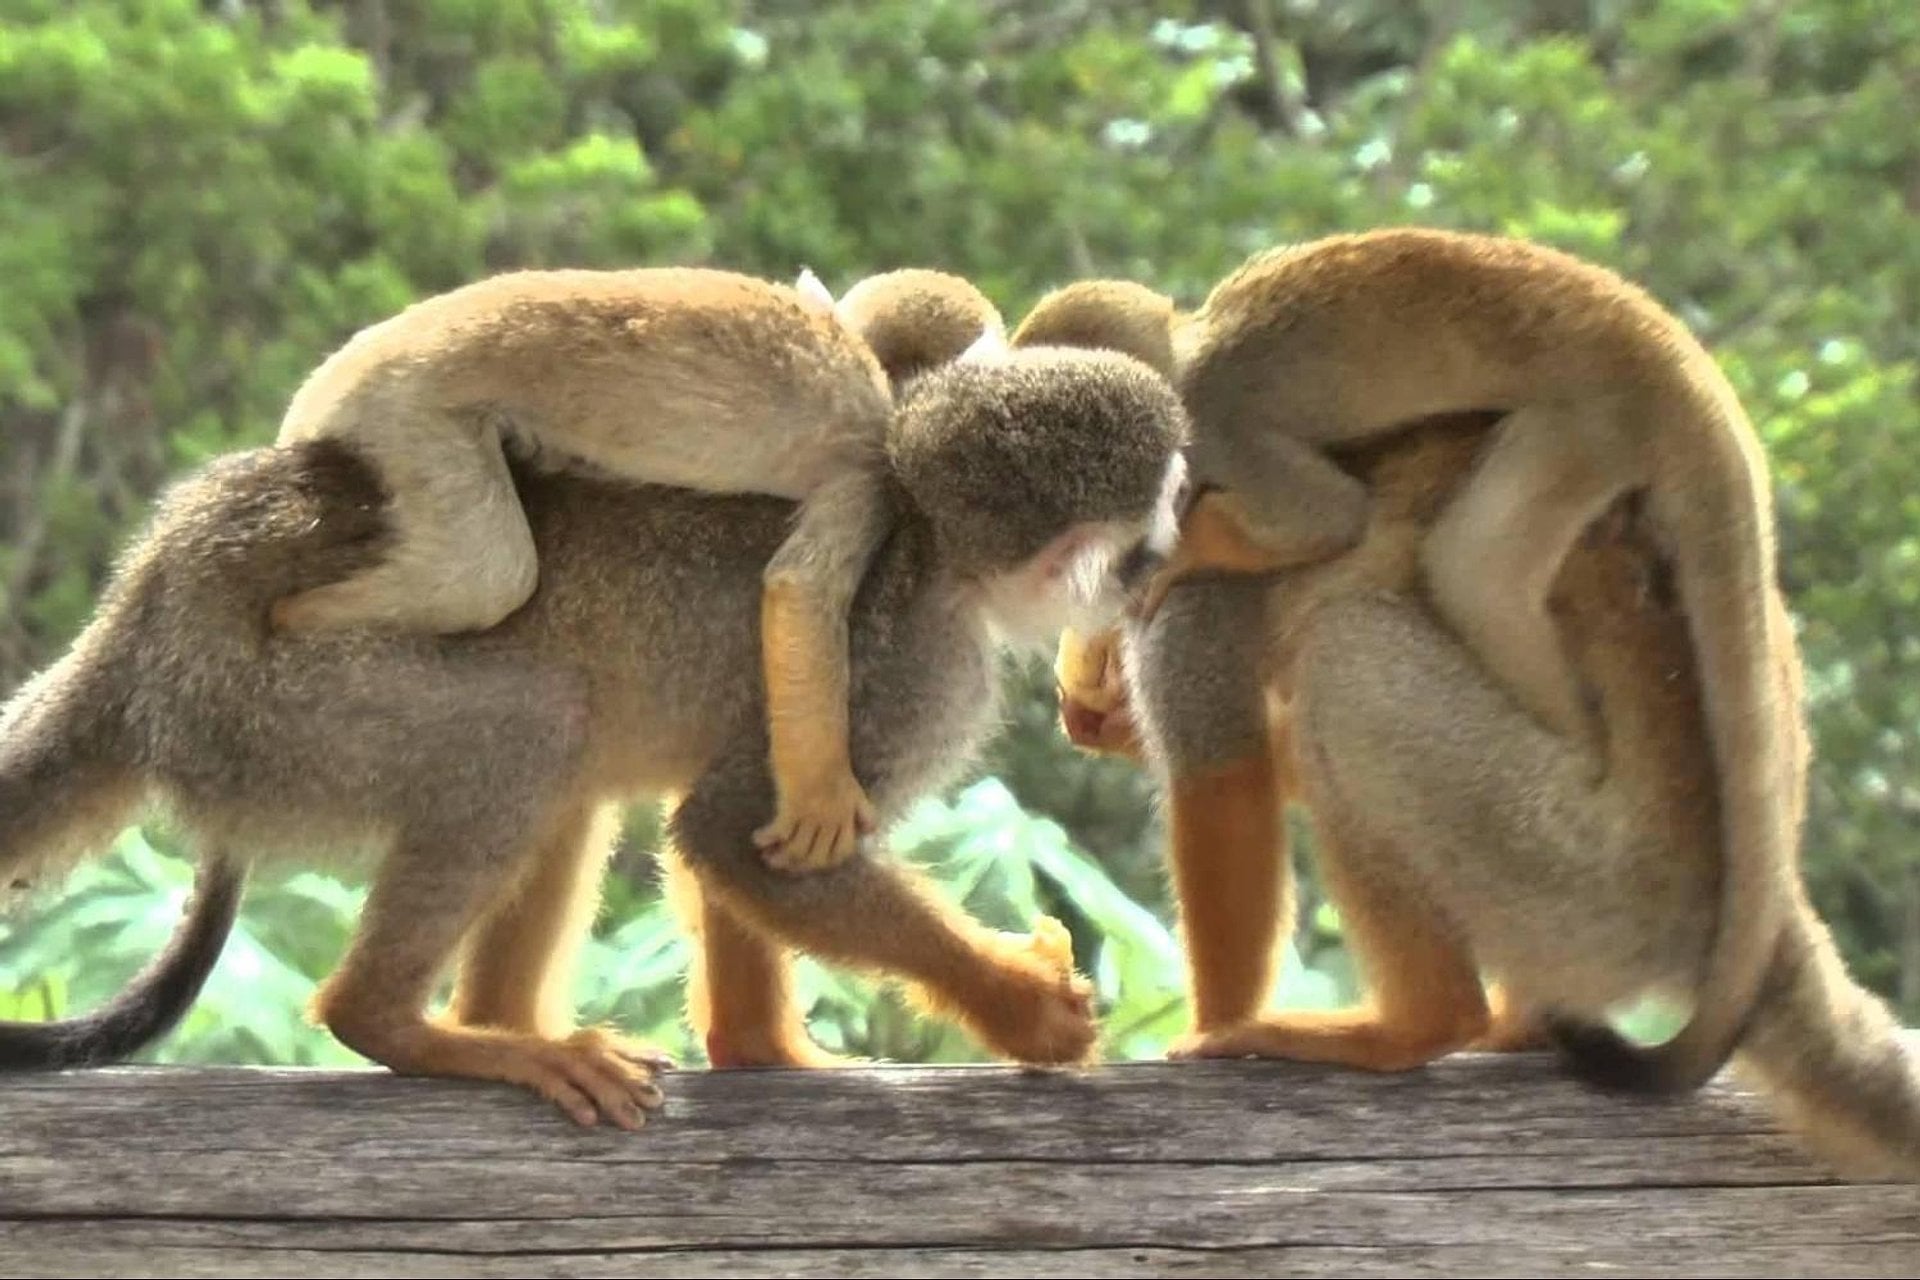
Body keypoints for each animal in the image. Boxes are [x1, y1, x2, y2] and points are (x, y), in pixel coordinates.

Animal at [0, 343, 1190, 1119]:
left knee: (566, 779)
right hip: (264, 706)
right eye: (1152, 529)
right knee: (535, 724)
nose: (1163, 565)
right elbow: (739, 829)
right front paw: (1024, 1009)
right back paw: (391, 1021)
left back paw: (497, 1026)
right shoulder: (917, 673)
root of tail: (155, 593)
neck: (939, 547)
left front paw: (761, 1049)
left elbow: (742, 836)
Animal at [266, 265, 999, 880]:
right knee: (488, 577)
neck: (859, 353)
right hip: (404, 411)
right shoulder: (871, 464)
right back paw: (295, 616)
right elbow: (802, 590)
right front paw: (823, 796)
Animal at [1014, 227, 1793, 1095]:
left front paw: (1176, 561)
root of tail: (1680, 363)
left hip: (1589, 430)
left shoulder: (1220, 432)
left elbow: (1324, 520)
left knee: (1469, 566)